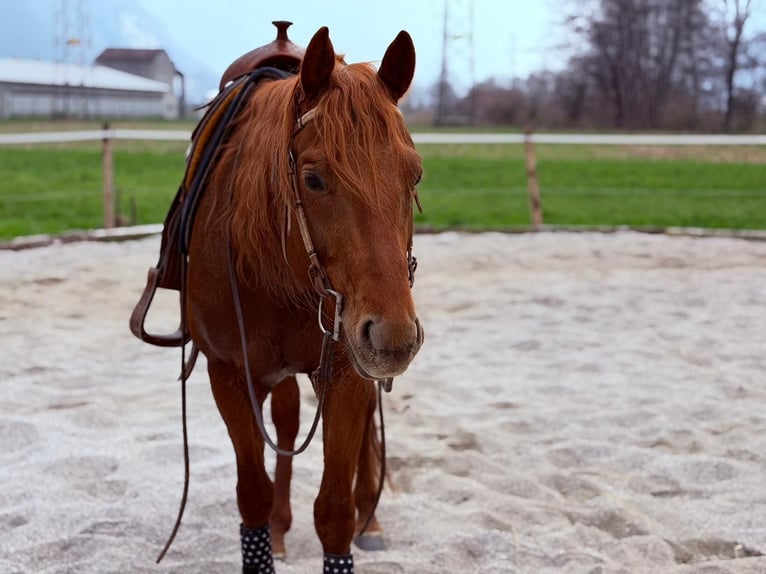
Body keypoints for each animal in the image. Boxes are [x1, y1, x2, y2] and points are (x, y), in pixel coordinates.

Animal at [180, 26, 422, 573]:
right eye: (313, 178)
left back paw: (370, 519)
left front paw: (355, 519)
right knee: (287, 424)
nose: (393, 337)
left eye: (414, 175)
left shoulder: (348, 370)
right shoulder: (229, 374)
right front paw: (268, 530)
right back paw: (280, 527)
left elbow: (333, 510)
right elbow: (253, 493)